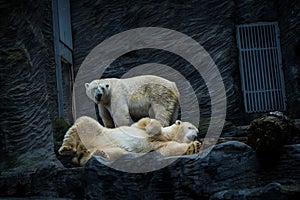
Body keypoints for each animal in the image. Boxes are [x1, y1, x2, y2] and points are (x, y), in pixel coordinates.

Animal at [58, 116, 200, 165]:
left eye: (197, 131)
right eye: (190, 127)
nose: (196, 134)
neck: (167, 136)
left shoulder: (162, 144)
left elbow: (169, 149)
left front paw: (195, 146)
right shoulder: (138, 127)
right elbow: (146, 121)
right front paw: (152, 130)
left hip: (116, 149)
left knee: (116, 153)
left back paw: (98, 154)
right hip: (97, 132)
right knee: (83, 122)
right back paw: (66, 148)